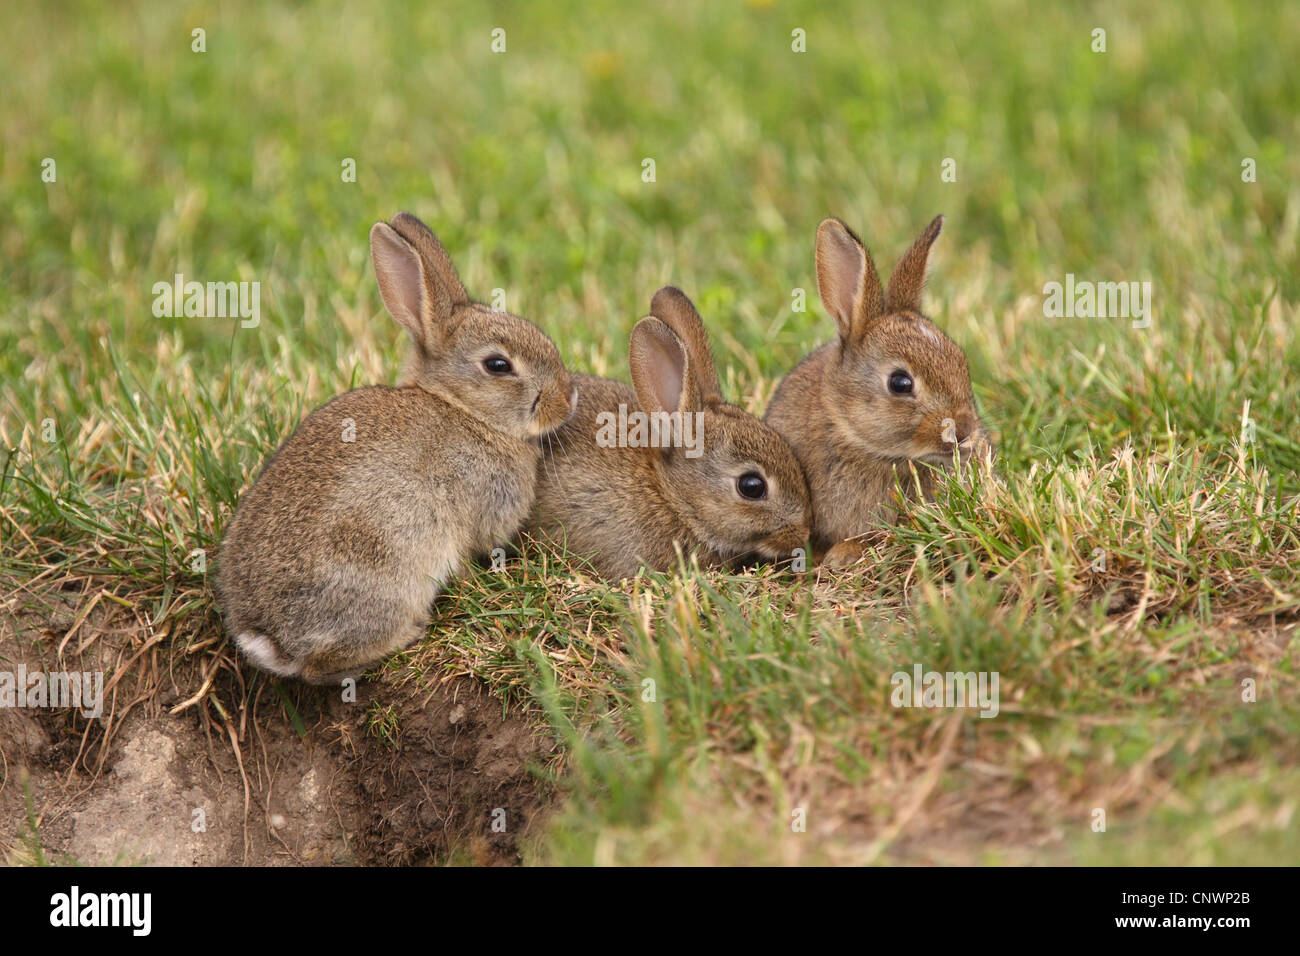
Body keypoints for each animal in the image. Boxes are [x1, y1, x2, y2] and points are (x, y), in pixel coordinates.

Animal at [215, 213, 572, 686]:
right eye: (498, 365)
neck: (463, 410)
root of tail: (267, 637)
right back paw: (410, 632)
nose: (567, 399)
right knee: (322, 664)